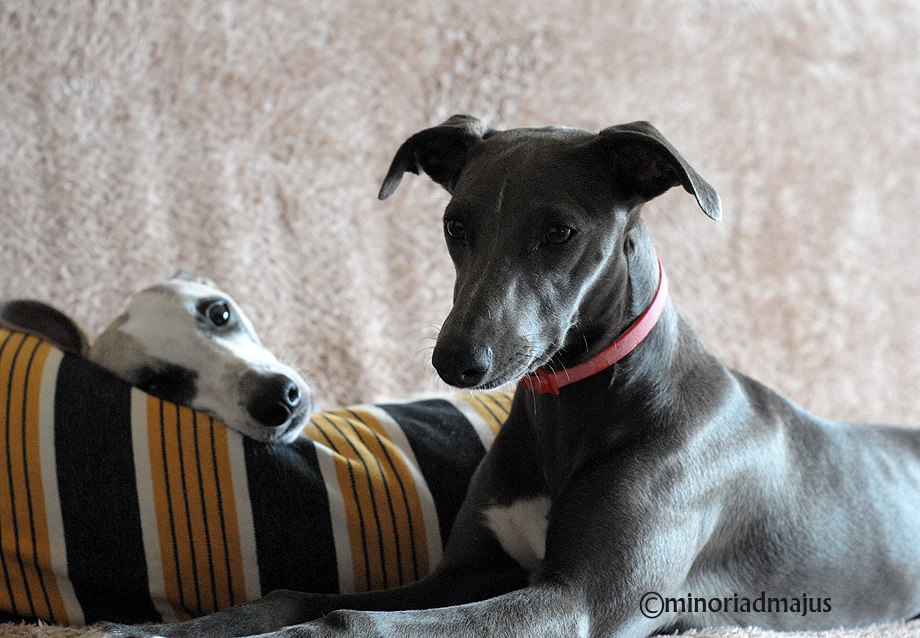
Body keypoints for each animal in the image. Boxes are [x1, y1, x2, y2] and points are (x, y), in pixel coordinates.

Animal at [88, 117, 920, 637]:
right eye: (456, 223)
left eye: (560, 232)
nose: (458, 360)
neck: (578, 407)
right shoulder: (462, 576)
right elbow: (295, 593)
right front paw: (149, 630)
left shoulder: (578, 602)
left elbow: (345, 619)